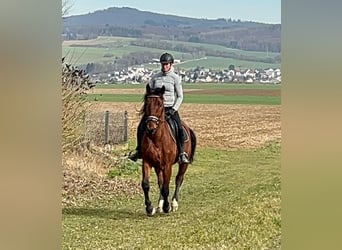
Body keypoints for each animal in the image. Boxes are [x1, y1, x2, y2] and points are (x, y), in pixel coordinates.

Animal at [139, 84, 196, 217]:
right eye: (147, 103)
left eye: (160, 104)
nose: (150, 127)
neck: (156, 138)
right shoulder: (147, 162)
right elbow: (146, 184)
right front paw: (150, 208)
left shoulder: (167, 165)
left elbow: (166, 187)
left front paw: (167, 207)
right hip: (158, 166)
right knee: (160, 182)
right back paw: (159, 205)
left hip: (183, 164)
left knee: (178, 179)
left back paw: (174, 204)